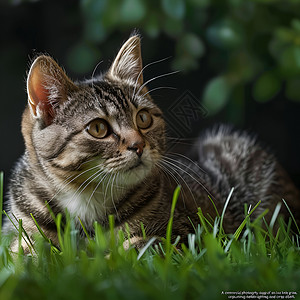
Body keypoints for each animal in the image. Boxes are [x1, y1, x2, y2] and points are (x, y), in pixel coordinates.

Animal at [2, 34, 300, 252]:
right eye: (98, 128)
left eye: (143, 118)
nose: (138, 145)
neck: (85, 201)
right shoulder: (20, 226)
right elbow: (24, 251)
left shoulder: (187, 234)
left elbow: (138, 245)